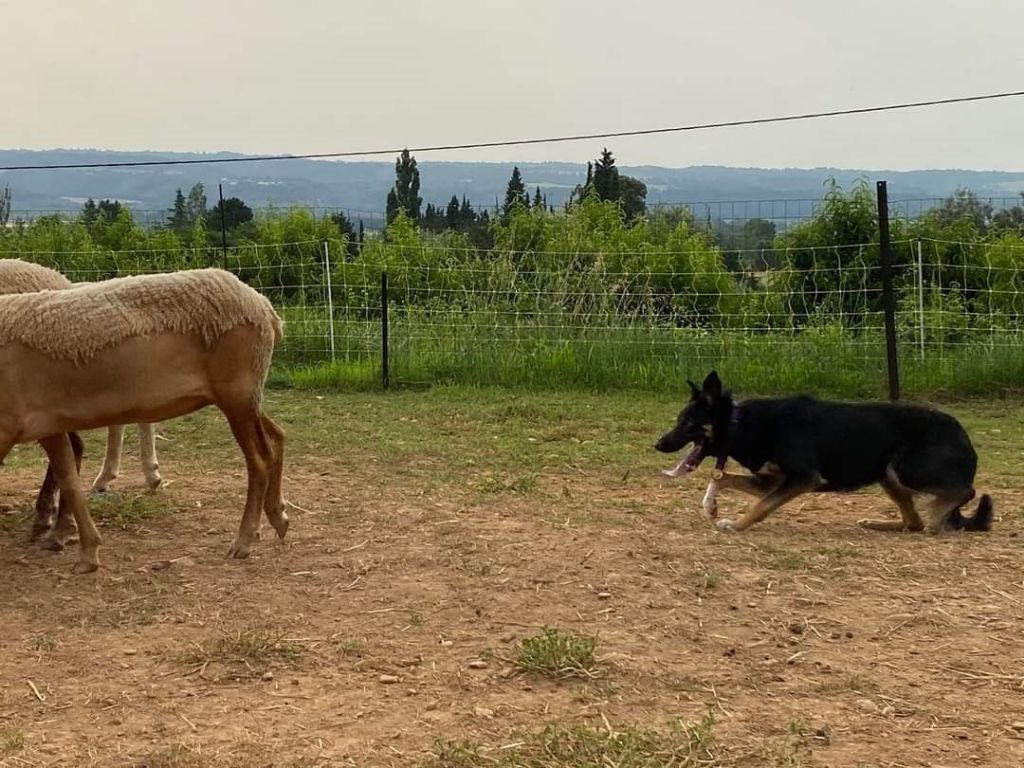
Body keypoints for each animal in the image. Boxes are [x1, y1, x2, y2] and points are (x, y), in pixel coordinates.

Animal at [655, 372, 991, 536]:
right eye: (679, 419)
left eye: (687, 424)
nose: (658, 444)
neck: (741, 424)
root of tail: (964, 437)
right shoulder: (770, 479)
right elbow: (721, 478)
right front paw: (710, 507)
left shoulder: (803, 478)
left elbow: (761, 506)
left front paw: (735, 525)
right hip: (887, 475)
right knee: (912, 522)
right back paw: (878, 524)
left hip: (904, 468)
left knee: (964, 493)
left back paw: (937, 515)